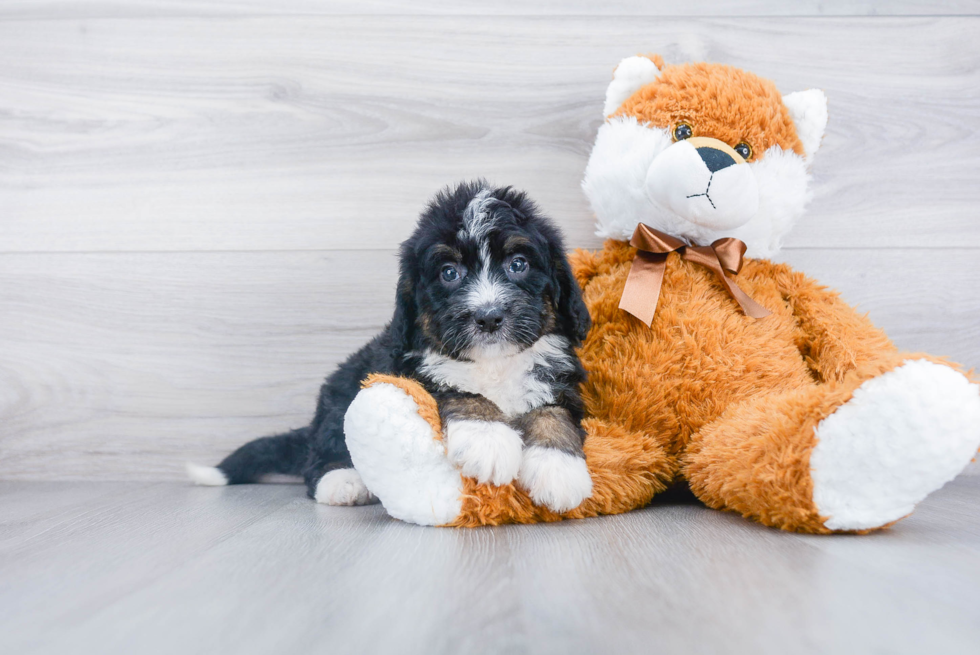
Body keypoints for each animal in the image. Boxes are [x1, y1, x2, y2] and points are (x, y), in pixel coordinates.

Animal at [188, 182, 592, 516]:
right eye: (449, 272)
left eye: (518, 264)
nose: (489, 317)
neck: (492, 364)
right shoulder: (411, 368)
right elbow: (458, 390)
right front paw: (487, 440)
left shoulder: (559, 377)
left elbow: (554, 413)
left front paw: (560, 469)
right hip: (342, 393)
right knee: (321, 455)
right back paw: (343, 482)